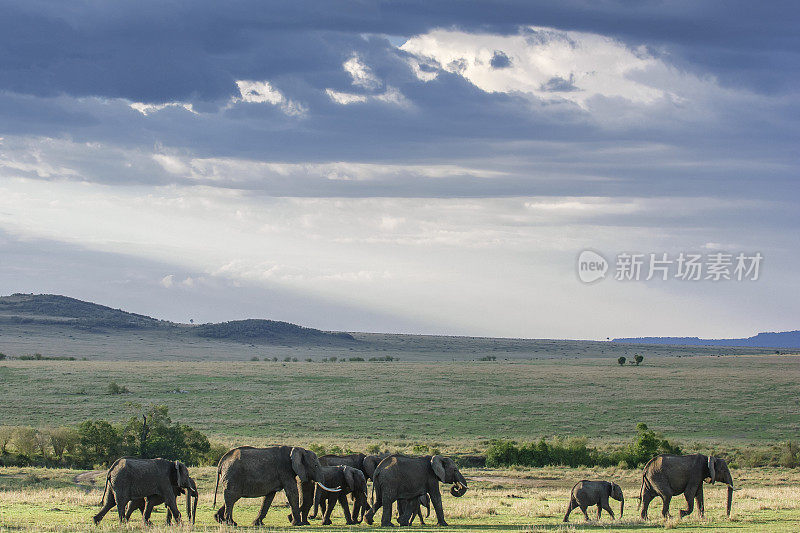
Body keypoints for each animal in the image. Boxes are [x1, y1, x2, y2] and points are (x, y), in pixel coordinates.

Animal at [211, 442, 340, 524]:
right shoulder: (285, 471)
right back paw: (230, 523)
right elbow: (292, 493)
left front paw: (257, 523)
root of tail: (221, 462)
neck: (295, 449)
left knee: (232, 497)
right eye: (316, 465)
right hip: (233, 475)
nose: (311, 517)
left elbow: (269, 497)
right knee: (231, 497)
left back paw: (219, 520)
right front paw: (298, 524)